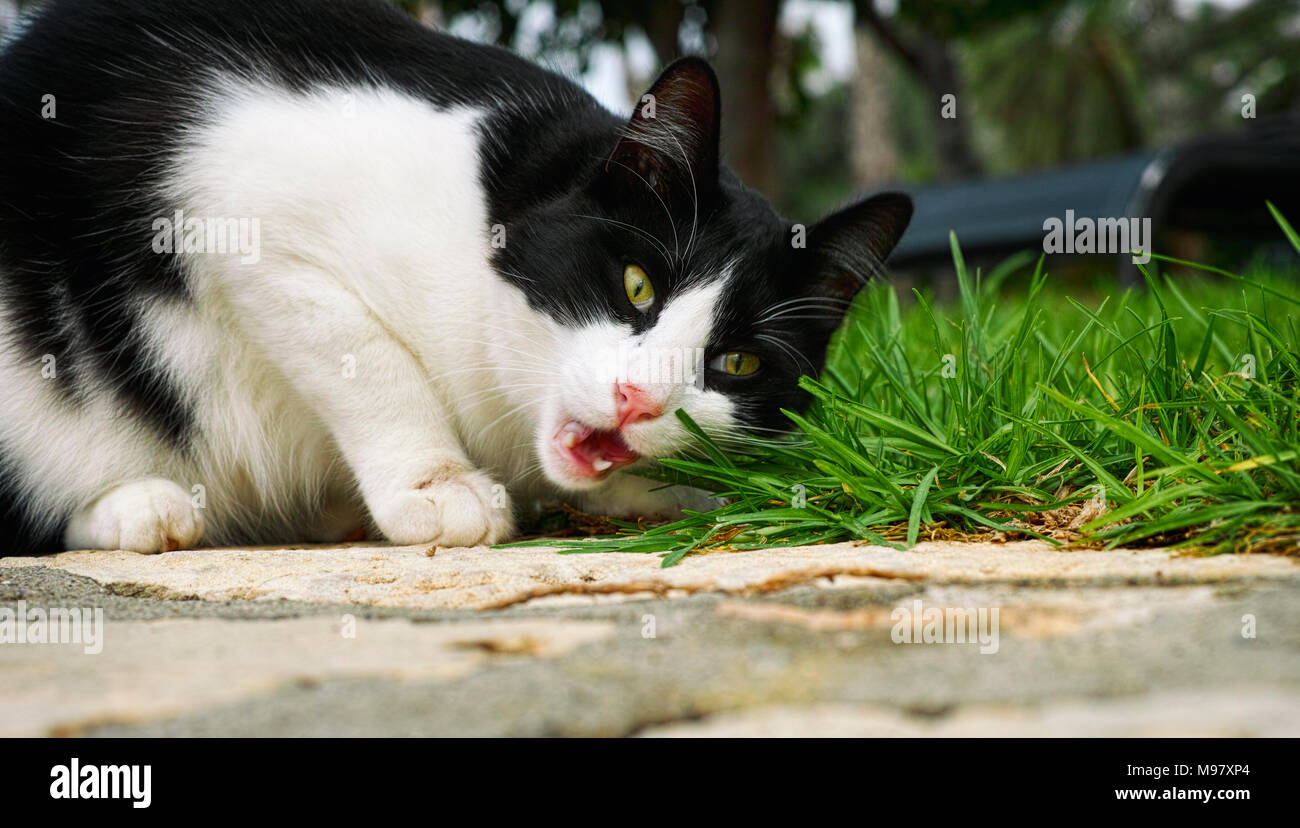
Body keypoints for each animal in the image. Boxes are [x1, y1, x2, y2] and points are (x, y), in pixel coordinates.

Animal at [0, 1, 909, 556]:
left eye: (738, 364)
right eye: (638, 286)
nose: (636, 401)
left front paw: (664, 487)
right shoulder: (238, 213)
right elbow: (368, 361)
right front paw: (434, 483)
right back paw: (140, 507)